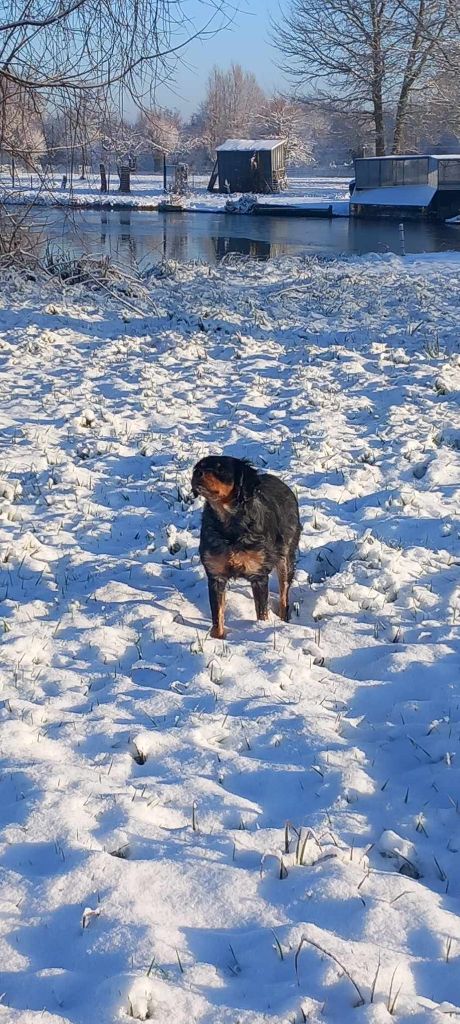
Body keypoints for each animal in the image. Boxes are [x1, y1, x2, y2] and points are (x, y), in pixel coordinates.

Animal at [192, 455, 301, 639]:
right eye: (198, 467)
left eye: (221, 469)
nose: (197, 473)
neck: (230, 525)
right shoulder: (215, 576)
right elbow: (217, 616)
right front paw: (218, 637)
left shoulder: (258, 575)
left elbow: (262, 612)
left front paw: (260, 628)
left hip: (286, 558)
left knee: (284, 594)